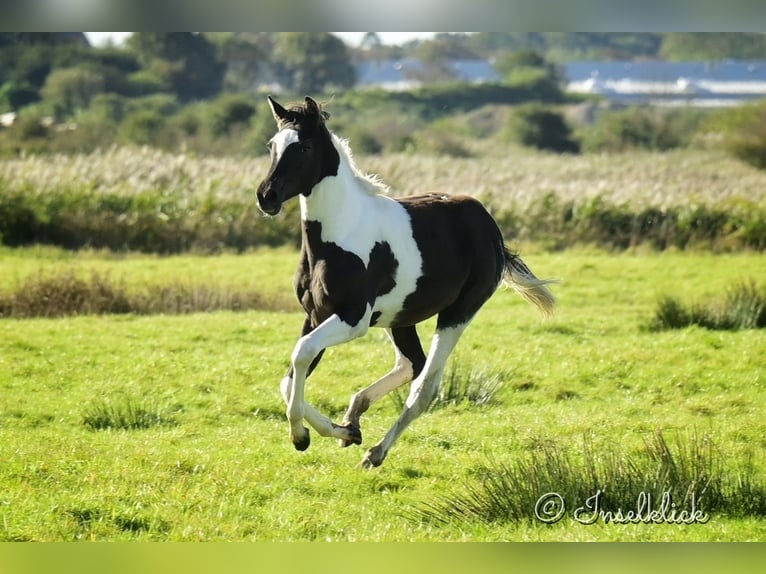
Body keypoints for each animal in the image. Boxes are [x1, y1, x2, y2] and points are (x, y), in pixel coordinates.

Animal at [258, 97, 560, 470]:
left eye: (304, 147)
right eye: (272, 146)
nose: (266, 197)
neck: (339, 235)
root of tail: (487, 223)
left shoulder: (352, 318)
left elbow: (301, 354)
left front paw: (301, 437)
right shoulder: (314, 316)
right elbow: (289, 378)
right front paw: (342, 432)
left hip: (457, 314)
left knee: (425, 385)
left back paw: (375, 452)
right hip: (398, 317)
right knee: (411, 363)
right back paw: (354, 416)